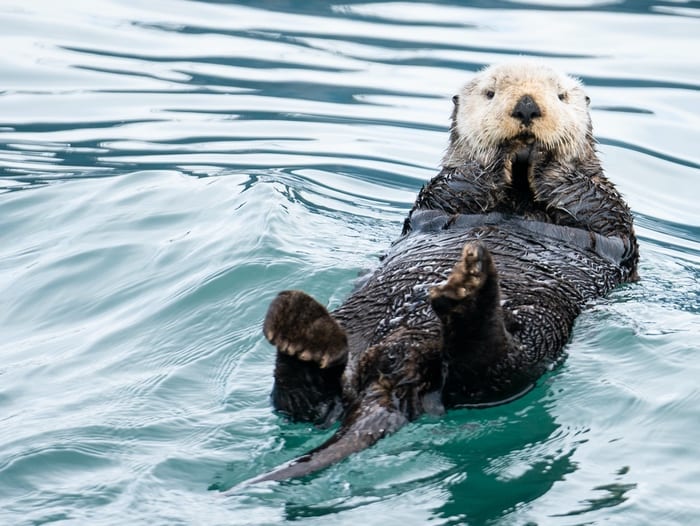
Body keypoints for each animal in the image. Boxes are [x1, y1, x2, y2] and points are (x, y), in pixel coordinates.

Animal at [243, 62, 636, 486]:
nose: (528, 107)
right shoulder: (441, 199)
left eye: (561, 96)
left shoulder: (607, 217)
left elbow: (585, 202)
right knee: (304, 403)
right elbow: (462, 185)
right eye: (490, 93)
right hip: (356, 331)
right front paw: (502, 158)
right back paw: (302, 331)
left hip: (530, 343)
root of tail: (397, 367)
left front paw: (546, 158)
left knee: (486, 366)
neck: (518, 193)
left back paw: (465, 292)